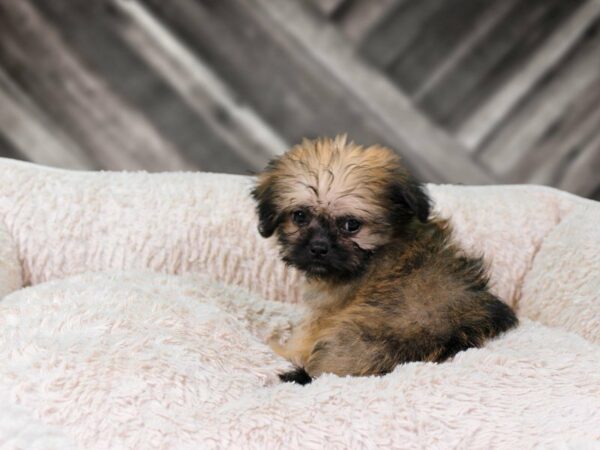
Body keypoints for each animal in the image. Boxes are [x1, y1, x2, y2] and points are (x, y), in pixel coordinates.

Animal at [251, 135, 516, 384]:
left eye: (351, 225)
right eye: (299, 216)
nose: (318, 248)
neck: (376, 251)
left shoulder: (323, 317)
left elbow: (299, 342)